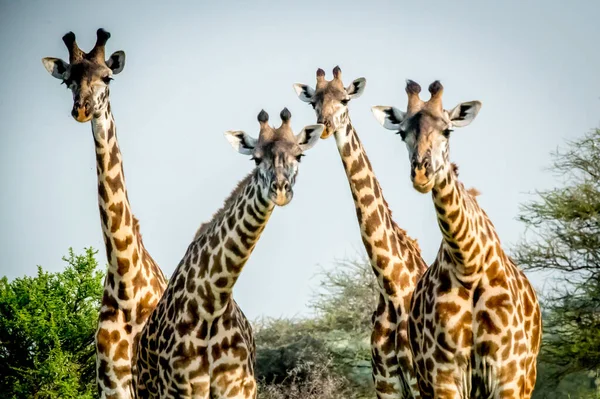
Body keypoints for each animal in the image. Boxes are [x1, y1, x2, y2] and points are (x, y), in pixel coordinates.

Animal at [135, 108, 324, 398]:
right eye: (256, 158)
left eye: (299, 155)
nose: (280, 190)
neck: (212, 303)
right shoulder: (182, 388)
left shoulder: (240, 387)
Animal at [294, 67, 426, 398]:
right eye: (313, 102)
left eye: (344, 99)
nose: (325, 126)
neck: (392, 287)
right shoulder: (386, 384)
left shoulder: (421, 381)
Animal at [372, 79, 540, 398]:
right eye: (402, 134)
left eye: (447, 130)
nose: (421, 174)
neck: (468, 261)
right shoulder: (443, 375)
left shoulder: (508, 374)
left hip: (525, 378)